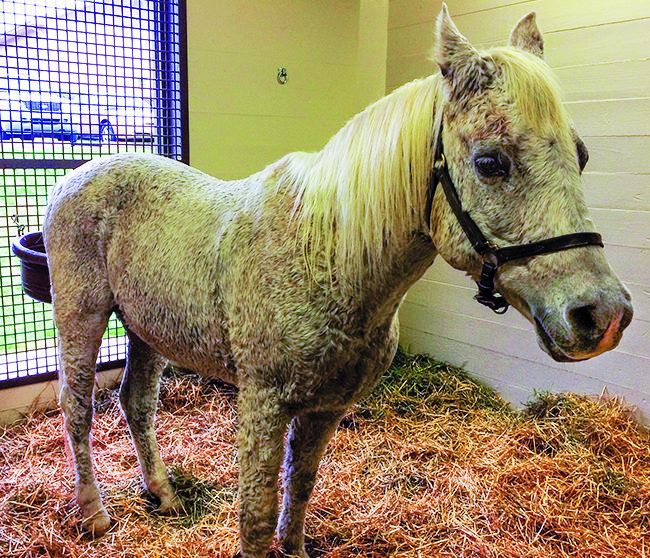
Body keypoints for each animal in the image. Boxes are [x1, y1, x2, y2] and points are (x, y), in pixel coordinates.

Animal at [41, 5, 628, 558]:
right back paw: (93, 514)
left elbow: (300, 488)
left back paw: (162, 493)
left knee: (136, 402)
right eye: (490, 162)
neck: (326, 259)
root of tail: (76, 175)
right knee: (78, 406)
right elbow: (255, 520)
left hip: (145, 329)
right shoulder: (261, 406)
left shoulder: (324, 410)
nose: (603, 315)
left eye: (582, 155)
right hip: (82, 314)